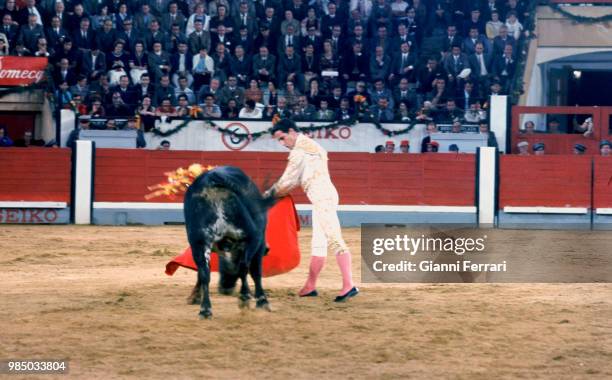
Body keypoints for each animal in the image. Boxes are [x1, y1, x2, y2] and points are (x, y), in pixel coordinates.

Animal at [183, 166, 276, 318]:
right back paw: (244, 297)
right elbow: (255, 271)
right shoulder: (258, 243)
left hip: (199, 240)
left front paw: (194, 297)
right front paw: (261, 301)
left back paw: (205, 309)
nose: (225, 288)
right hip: (252, 236)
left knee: (204, 272)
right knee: (244, 266)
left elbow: (201, 273)